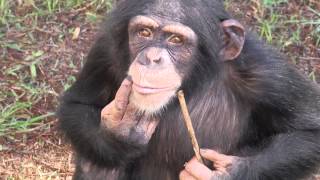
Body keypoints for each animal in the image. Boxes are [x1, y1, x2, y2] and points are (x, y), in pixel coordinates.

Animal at [57, 0, 320, 179]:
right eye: (144, 32)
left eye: (176, 40)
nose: (151, 58)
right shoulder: (105, 50)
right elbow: (77, 105)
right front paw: (120, 134)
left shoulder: (266, 73)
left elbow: (309, 134)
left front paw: (225, 172)